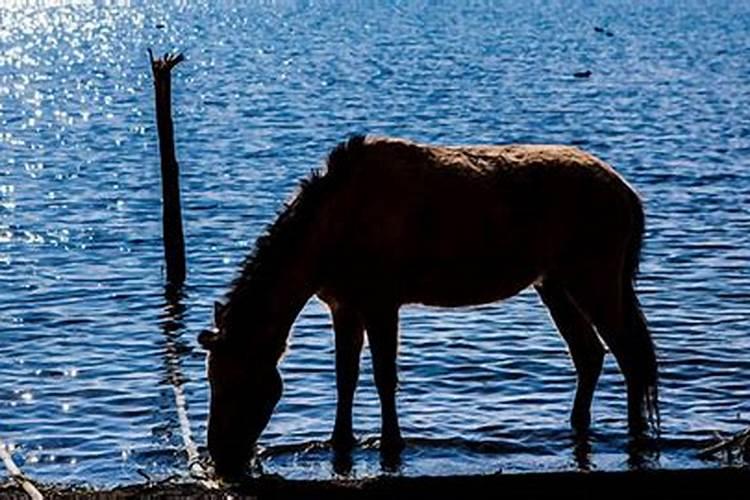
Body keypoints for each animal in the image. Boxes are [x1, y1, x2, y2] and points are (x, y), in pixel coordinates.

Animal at [197, 135, 660, 474]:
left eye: (237, 382)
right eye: (212, 379)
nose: (220, 453)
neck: (335, 223)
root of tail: (626, 192)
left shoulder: (382, 303)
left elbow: (384, 378)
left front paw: (391, 442)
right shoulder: (345, 307)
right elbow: (345, 378)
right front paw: (340, 440)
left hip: (593, 281)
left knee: (630, 356)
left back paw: (636, 436)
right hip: (557, 285)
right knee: (590, 355)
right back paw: (579, 425)